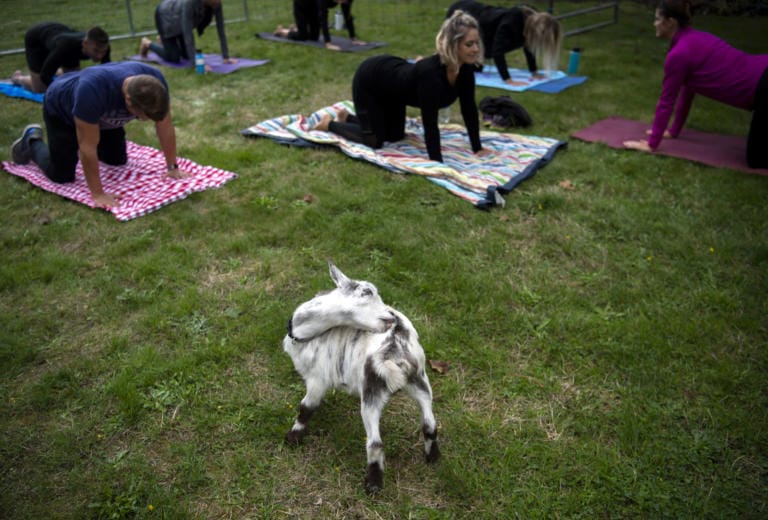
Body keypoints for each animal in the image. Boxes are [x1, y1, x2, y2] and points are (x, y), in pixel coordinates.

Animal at [280, 262, 438, 494]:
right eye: (367, 292)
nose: (391, 316)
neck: (303, 333)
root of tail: (395, 344)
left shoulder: (318, 378)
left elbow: (306, 407)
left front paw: (293, 437)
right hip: (420, 380)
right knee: (430, 424)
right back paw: (433, 458)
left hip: (372, 391)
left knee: (375, 443)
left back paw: (373, 484)